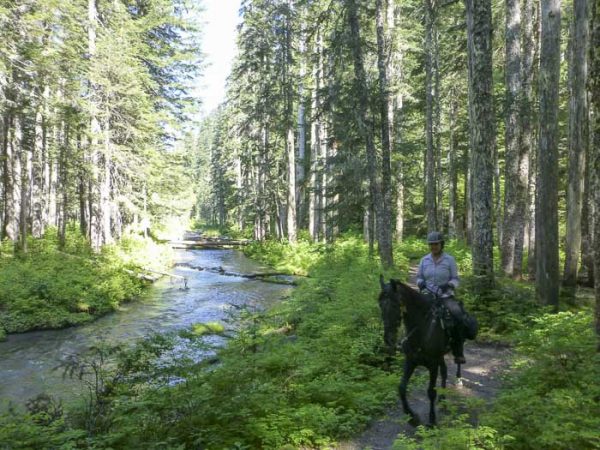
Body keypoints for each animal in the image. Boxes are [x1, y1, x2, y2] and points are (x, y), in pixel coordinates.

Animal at [378, 274, 462, 426]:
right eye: (380, 305)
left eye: (394, 305)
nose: (388, 339)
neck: (421, 330)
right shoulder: (410, 361)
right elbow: (401, 388)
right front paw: (412, 417)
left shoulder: (433, 365)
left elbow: (431, 392)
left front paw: (432, 420)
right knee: (444, 370)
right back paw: (443, 399)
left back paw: (458, 380)